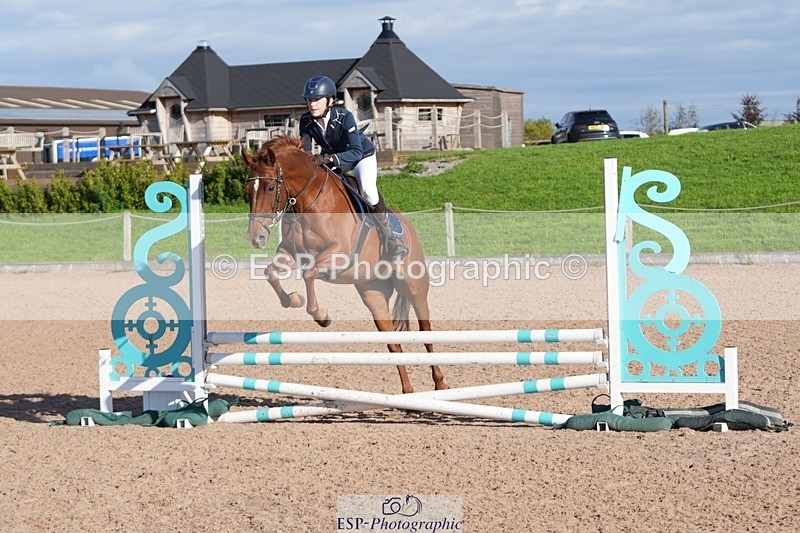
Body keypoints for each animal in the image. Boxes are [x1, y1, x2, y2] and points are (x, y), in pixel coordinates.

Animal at [242, 136, 447, 394]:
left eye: (270, 188)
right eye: (247, 191)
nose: (256, 237)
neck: (308, 203)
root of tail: (408, 226)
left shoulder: (338, 254)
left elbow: (309, 274)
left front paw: (321, 315)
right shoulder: (289, 252)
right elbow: (271, 272)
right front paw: (293, 299)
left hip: (414, 288)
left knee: (426, 333)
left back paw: (440, 383)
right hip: (373, 293)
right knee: (393, 344)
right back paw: (407, 392)